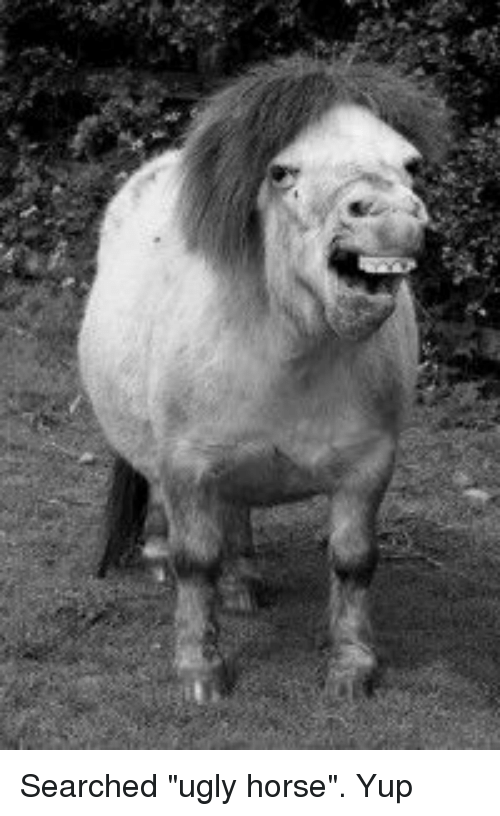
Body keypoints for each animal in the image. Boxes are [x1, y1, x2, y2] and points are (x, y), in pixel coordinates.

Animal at [78, 55, 448, 704]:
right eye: (281, 171)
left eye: (410, 164)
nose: (391, 215)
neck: (293, 353)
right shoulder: (188, 462)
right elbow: (196, 560)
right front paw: (200, 670)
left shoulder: (368, 465)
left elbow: (354, 560)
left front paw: (351, 667)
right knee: (169, 508)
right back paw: (158, 556)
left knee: (238, 512)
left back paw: (242, 585)